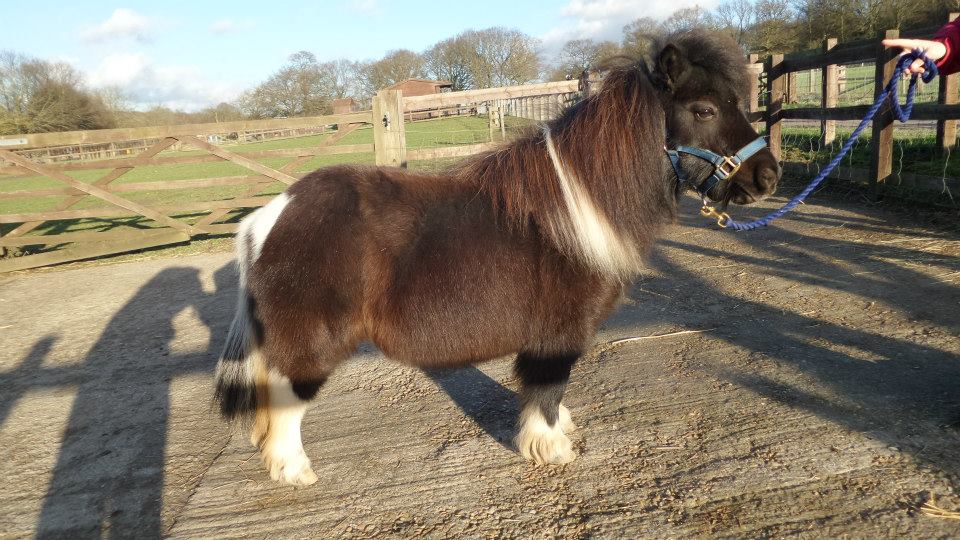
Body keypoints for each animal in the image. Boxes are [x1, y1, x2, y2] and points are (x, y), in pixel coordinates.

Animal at [214, 29, 780, 486]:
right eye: (704, 109)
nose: (768, 177)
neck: (578, 204)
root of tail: (268, 217)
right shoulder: (559, 331)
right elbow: (548, 386)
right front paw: (551, 448)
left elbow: (546, 390)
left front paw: (556, 430)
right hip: (311, 340)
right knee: (286, 400)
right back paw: (293, 470)